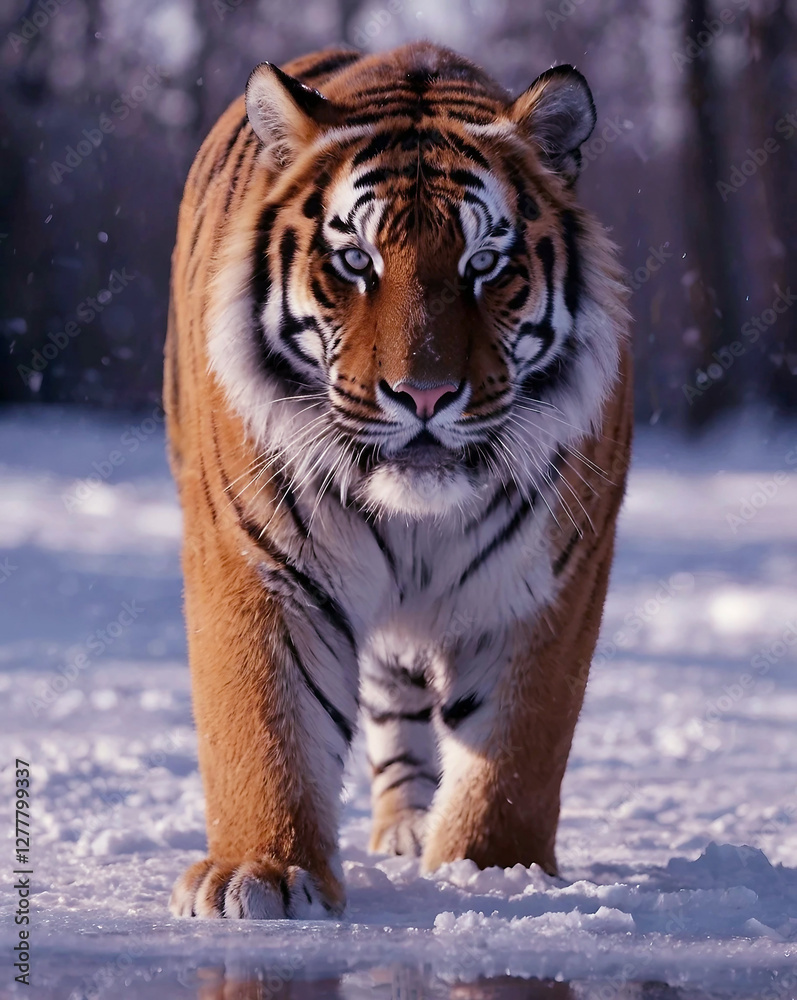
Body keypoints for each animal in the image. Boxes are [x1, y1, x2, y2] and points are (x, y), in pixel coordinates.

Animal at [164, 41, 632, 920]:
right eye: (356, 261)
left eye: (485, 265)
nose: (423, 395)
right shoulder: (255, 558)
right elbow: (262, 719)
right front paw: (260, 872)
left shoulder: (548, 579)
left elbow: (516, 750)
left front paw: (491, 871)